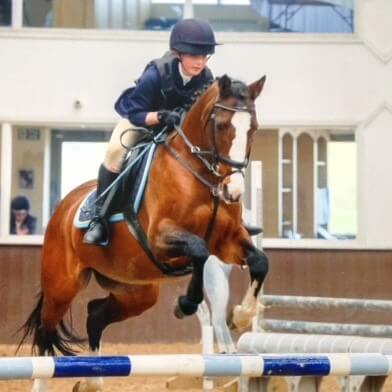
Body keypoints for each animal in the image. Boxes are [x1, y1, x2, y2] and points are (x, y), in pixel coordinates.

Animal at [19, 75, 268, 390]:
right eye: (222, 125)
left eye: (254, 128)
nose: (233, 192)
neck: (201, 175)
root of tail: (63, 207)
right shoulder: (160, 238)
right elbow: (198, 250)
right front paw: (185, 303)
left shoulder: (228, 243)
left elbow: (259, 261)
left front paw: (241, 316)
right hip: (61, 286)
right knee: (45, 335)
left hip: (136, 290)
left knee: (95, 314)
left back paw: (92, 381)